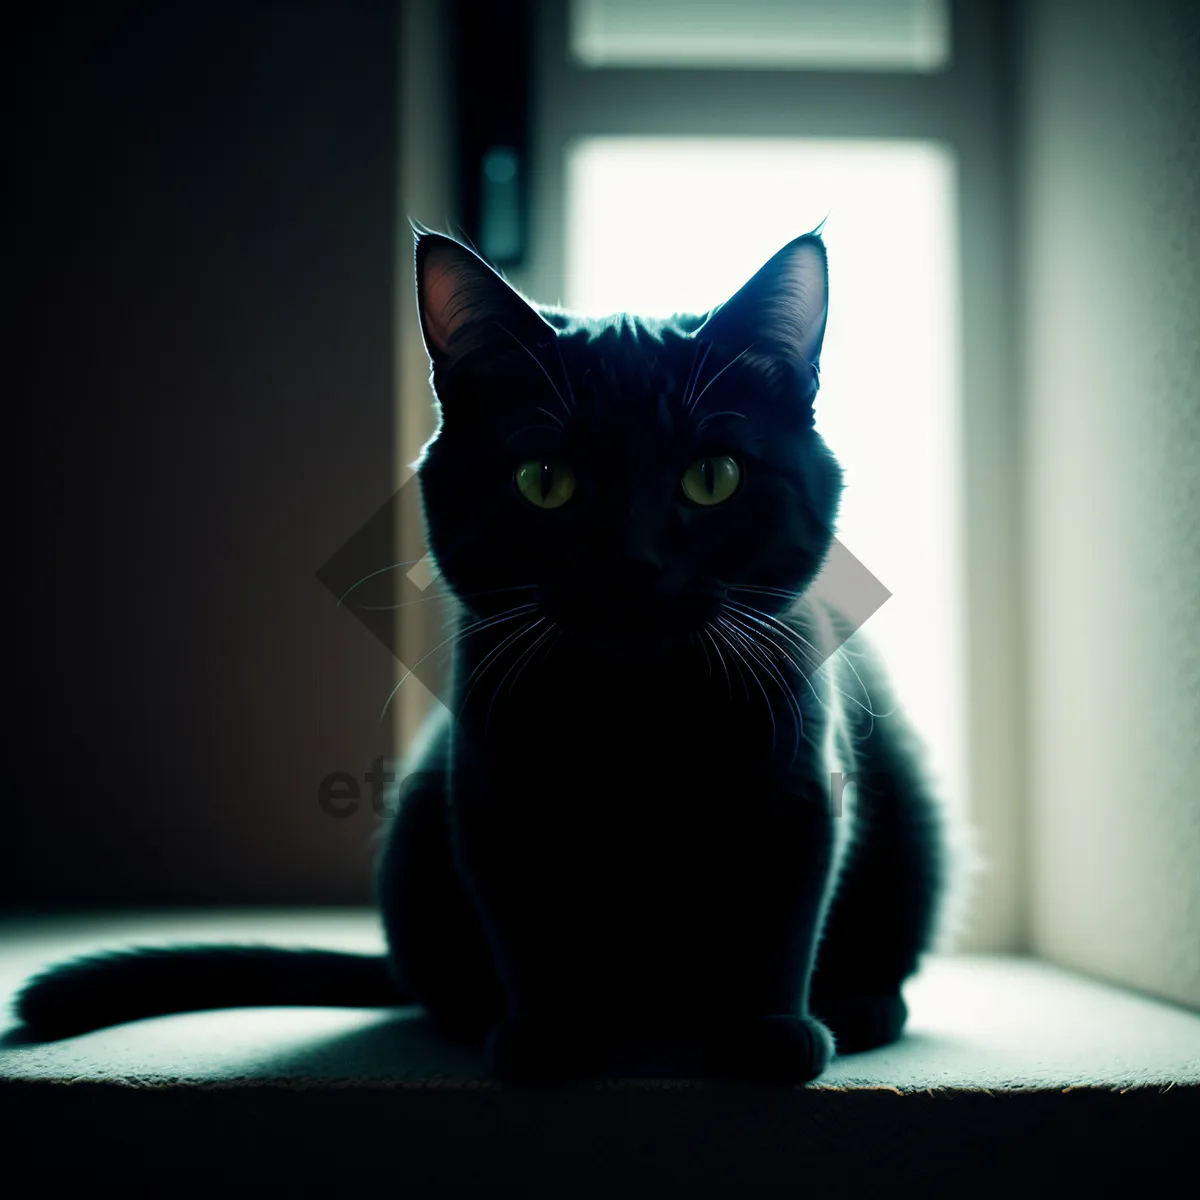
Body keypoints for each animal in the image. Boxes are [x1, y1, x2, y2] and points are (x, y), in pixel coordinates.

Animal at [11, 226, 955, 1089]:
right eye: (544, 481)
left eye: (712, 477)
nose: (635, 561)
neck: (636, 715)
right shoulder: (493, 796)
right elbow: (529, 928)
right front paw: (548, 1039)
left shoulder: (797, 791)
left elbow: (777, 921)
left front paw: (767, 1037)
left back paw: (864, 1005)